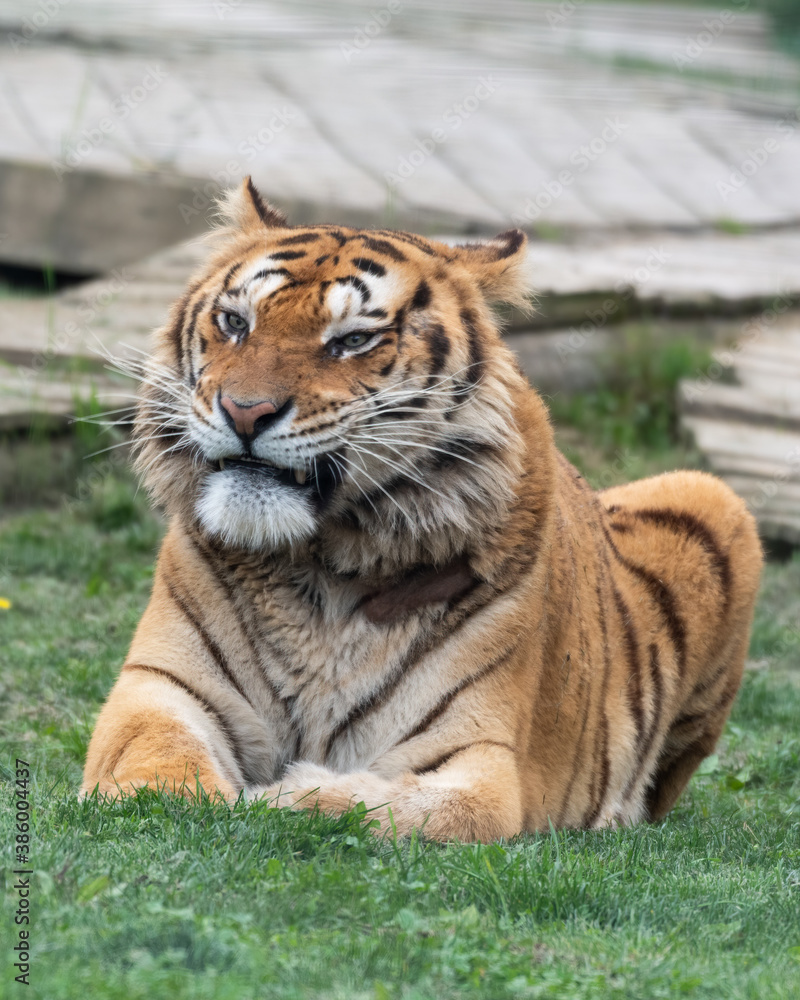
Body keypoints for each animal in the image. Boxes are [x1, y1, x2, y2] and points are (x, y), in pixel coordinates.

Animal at [81, 176, 763, 841]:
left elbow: (396, 810)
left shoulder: (478, 760)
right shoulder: (160, 690)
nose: (244, 412)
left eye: (353, 340)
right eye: (234, 322)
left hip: (716, 497)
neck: (319, 570)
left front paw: (281, 795)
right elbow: (155, 771)